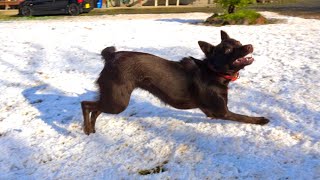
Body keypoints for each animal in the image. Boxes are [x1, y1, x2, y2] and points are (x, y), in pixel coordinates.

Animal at [81, 31, 268, 135]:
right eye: (228, 50)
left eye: (238, 42)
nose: (249, 46)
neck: (214, 71)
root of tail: (111, 56)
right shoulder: (222, 112)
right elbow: (245, 117)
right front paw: (262, 120)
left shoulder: (213, 113)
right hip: (118, 102)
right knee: (86, 104)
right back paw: (87, 129)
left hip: (113, 98)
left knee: (95, 109)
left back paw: (92, 129)